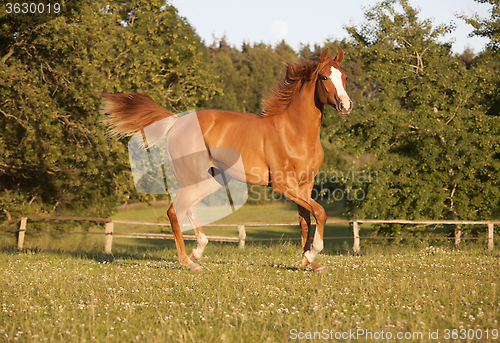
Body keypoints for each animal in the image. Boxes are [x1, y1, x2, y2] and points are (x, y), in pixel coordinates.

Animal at [102, 47, 352, 274]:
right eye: (324, 77)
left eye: (345, 77)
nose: (346, 106)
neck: (294, 132)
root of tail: (176, 121)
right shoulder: (283, 185)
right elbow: (321, 213)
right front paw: (312, 254)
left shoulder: (305, 185)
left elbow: (305, 221)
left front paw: (309, 263)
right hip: (192, 177)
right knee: (175, 211)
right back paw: (188, 262)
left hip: (211, 180)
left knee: (189, 207)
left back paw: (197, 252)